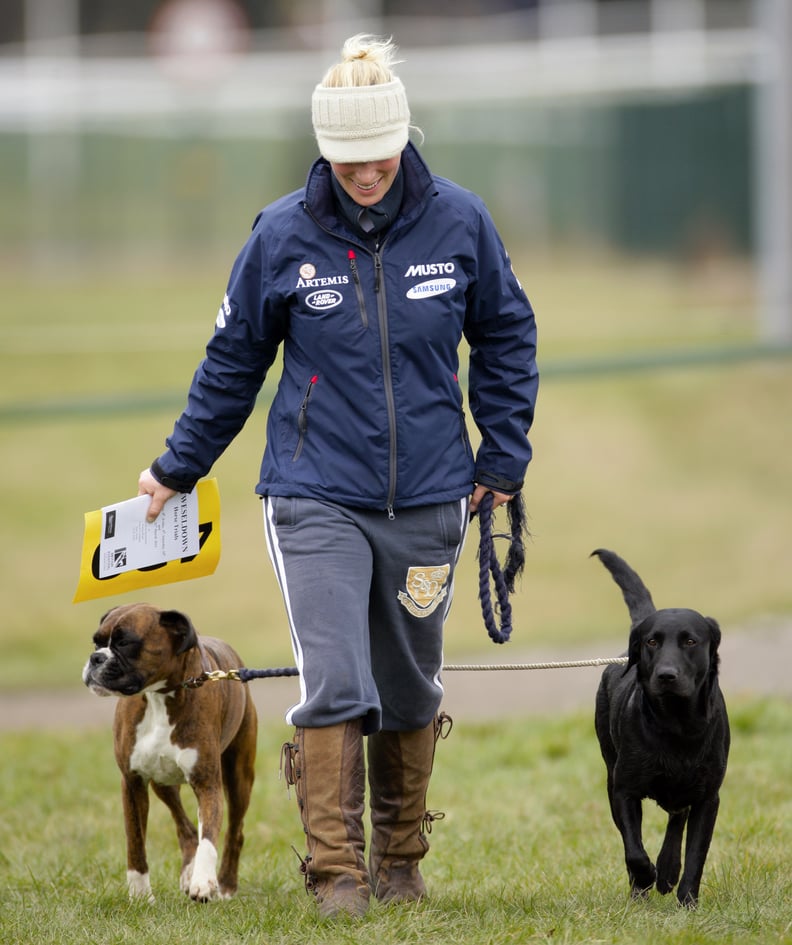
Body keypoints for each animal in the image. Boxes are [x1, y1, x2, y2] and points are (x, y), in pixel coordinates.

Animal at [80, 600, 255, 904]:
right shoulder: (133, 782)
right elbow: (136, 842)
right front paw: (140, 894)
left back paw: (225, 885)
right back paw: (188, 871)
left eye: (125, 642)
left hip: (239, 779)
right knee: (185, 827)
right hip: (163, 784)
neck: (159, 696)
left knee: (235, 832)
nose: (95, 658)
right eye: (96, 642)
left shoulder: (208, 784)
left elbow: (209, 837)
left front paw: (203, 881)